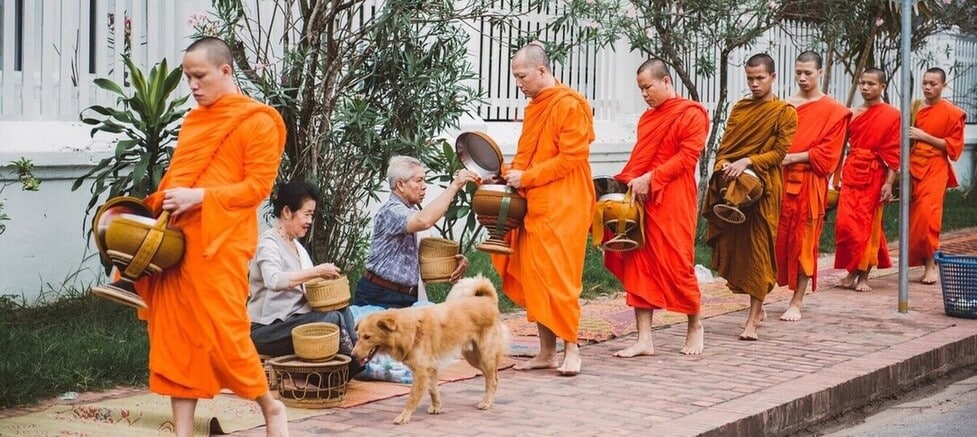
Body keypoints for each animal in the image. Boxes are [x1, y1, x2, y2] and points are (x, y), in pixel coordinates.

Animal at [354, 276, 516, 422]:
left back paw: (487, 402)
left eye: (367, 337)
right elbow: (433, 390)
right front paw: (437, 407)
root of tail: (488, 299)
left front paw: (404, 416)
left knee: (492, 379)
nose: (353, 355)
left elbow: (412, 397)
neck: (411, 331)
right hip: (473, 358)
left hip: (484, 355)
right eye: (358, 336)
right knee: (491, 376)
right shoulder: (430, 369)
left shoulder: (421, 372)